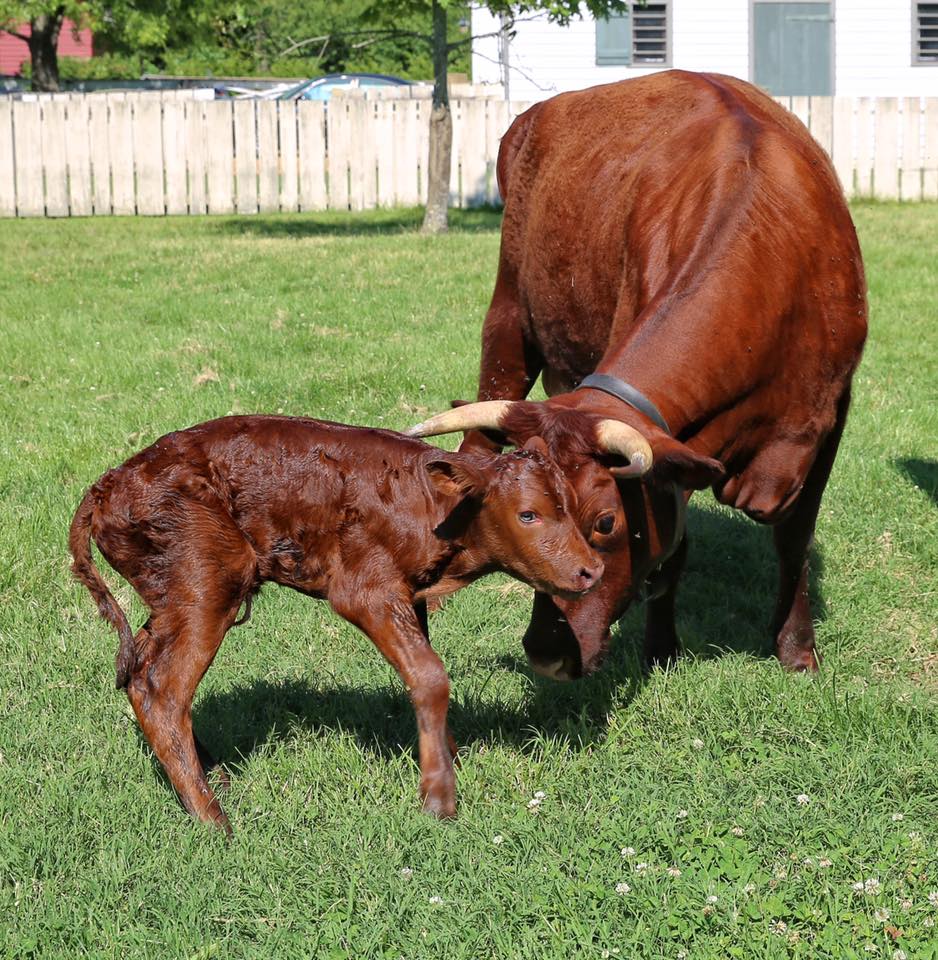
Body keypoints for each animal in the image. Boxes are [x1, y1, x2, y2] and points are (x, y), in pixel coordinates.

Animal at [69, 414, 609, 829]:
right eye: (528, 515)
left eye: (574, 508)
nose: (591, 570)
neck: (432, 508)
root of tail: (109, 483)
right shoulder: (364, 591)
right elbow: (431, 676)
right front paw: (439, 797)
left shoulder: (408, 596)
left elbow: (423, 671)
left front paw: (447, 758)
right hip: (206, 584)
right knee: (163, 689)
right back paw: (212, 818)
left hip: (170, 601)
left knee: (139, 671)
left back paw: (211, 774)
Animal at [407, 71, 867, 681]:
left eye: (605, 522)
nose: (546, 653)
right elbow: (673, 552)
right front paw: (662, 647)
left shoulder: (829, 416)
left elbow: (793, 539)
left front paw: (796, 650)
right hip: (509, 314)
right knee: (479, 439)